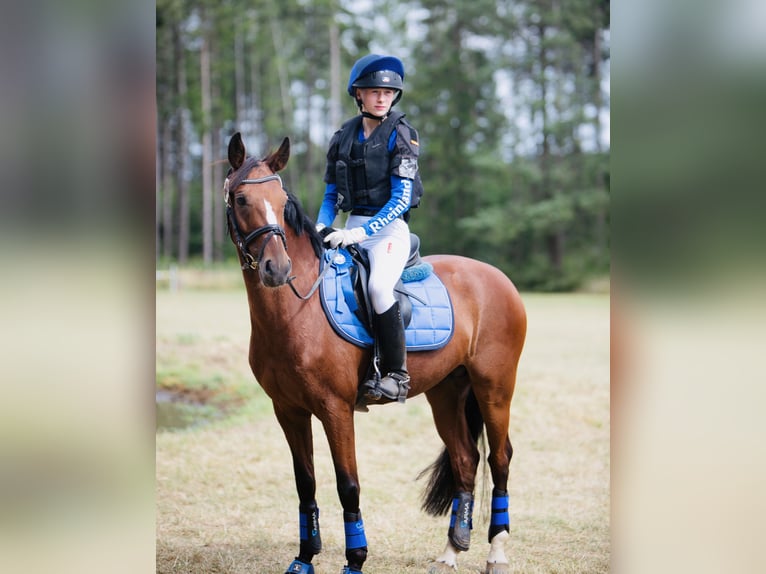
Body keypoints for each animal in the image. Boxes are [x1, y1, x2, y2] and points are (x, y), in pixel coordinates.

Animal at [225, 135, 532, 574]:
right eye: (240, 198)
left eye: (282, 201)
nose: (276, 269)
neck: (297, 310)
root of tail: (497, 277)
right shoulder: (288, 410)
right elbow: (306, 483)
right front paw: (304, 558)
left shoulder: (334, 408)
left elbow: (347, 484)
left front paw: (355, 559)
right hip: (446, 393)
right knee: (465, 458)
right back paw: (451, 549)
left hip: (495, 388)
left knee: (500, 458)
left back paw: (497, 550)